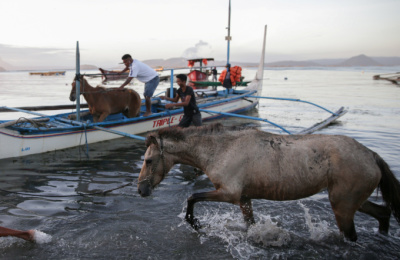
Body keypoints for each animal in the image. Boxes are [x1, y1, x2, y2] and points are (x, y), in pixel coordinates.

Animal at [138, 124, 400, 242]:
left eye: (149, 160)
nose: (141, 189)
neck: (221, 150)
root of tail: (371, 155)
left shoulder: (230, 194)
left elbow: (192, 198)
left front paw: (196, 224)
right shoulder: (244, 199)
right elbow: (251, 225)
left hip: (343, 206)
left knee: (352, 236)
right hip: (352, 201)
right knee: (384, 213)